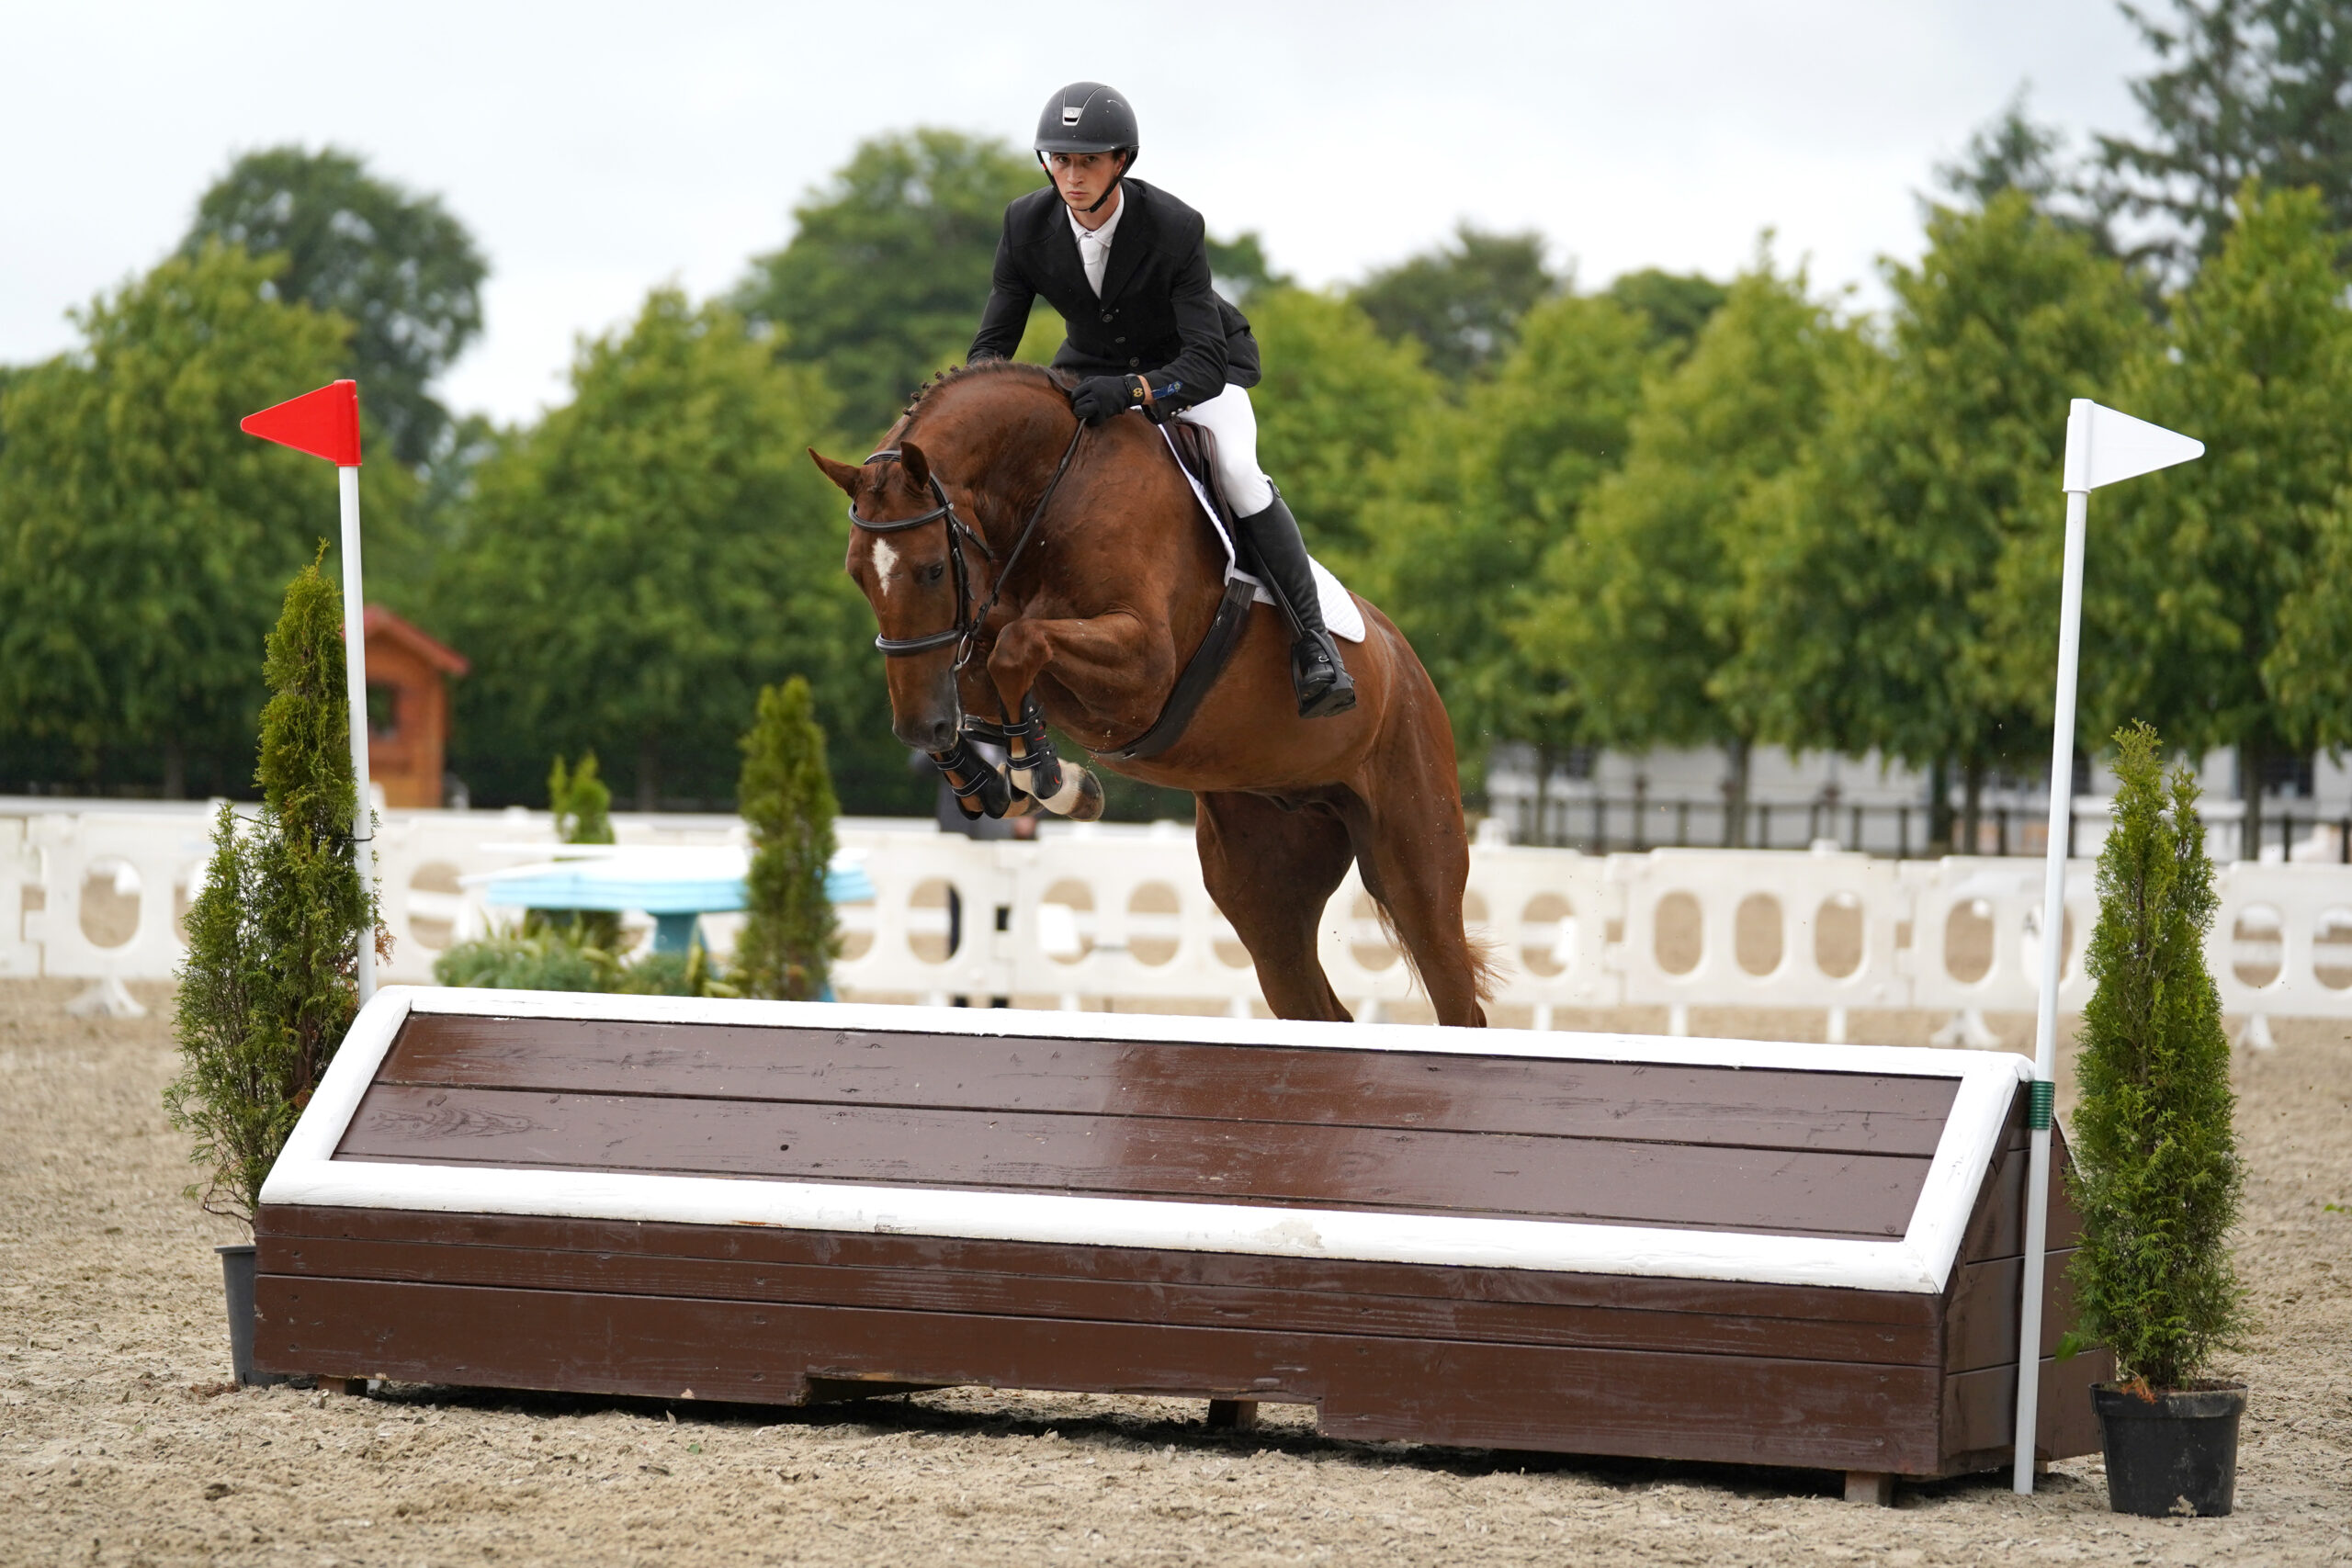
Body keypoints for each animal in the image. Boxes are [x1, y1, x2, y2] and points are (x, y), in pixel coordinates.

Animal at [809, 360, 1496, 1027]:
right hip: (1265, 879)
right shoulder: (985, 629)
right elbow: (988, 661)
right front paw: (991, 776)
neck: (1051, 492)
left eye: (930, 569)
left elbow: (1017, 647)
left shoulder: (1143, 672)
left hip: (1414, 858)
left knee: (1457, 997)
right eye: (857, 575)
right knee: (1315, 1004)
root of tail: (1407, 665)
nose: (917, 728)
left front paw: (1050, 778)